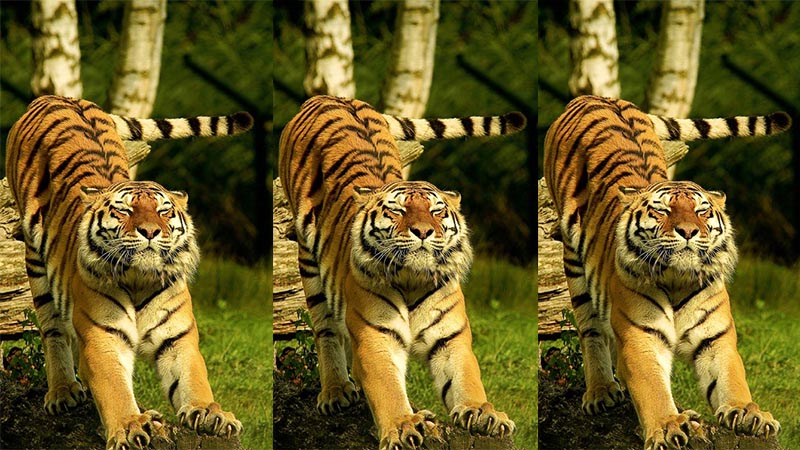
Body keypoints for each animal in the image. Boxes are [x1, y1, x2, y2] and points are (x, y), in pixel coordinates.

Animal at [4, 95, 253, 450]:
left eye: (164, 211)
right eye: (124, 210)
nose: (150, 231)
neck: (139, 279)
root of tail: (56, 97)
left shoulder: (178, 338)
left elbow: (193, 378)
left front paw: (211, 413)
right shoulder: (102, 337)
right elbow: (114, 388)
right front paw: (130, 425)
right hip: (36, 263)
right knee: (53, 330)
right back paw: (63, 392)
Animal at [278, 95, 525, 449]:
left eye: (437, 211)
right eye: (397, 210)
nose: (423, 231)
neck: (412, 279)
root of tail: (329, 97)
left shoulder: (451, 338)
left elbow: (467, 378)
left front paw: (484, 412)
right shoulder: (375, 337)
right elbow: (387, 388)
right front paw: (403, 425)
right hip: (309, 262)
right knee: (325, 329)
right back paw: (336, 392)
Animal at [543, 95, 791, 450]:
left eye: (702, 211)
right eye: (662, 210)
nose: (688, 231)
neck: (677, 279)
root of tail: (594, 97)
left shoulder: (716, 339)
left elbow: (732, 378)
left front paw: (749, 412)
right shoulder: (640, 337)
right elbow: (652, 388)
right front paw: (668, 425)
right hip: (573, 262)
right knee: (590, 329)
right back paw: (601, 392)